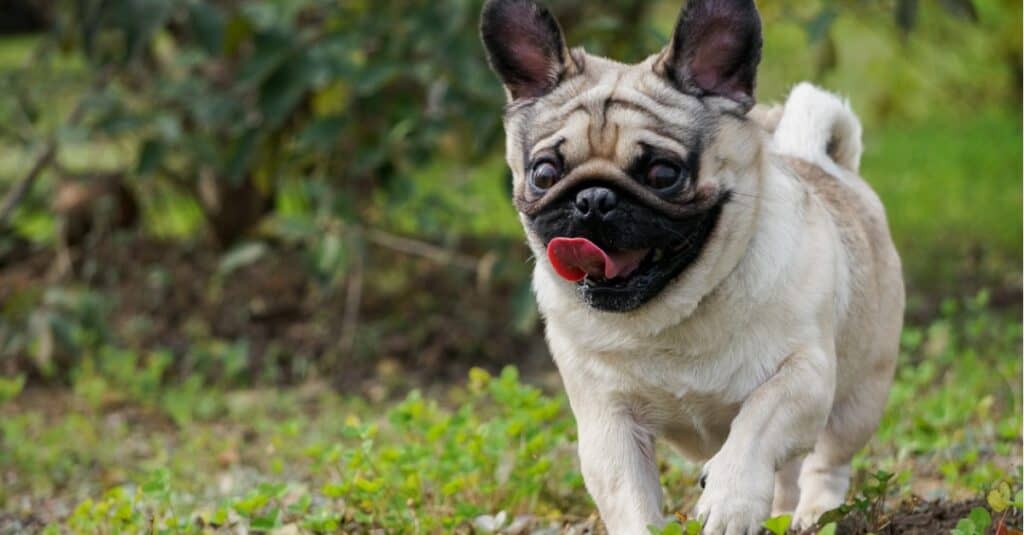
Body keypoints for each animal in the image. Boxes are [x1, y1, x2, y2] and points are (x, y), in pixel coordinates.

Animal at [479, 0, 905, 528]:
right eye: (543, 174)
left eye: (663, 173)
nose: (593, 199)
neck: (673, 313)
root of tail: (820, 161)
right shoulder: (608, 422)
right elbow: (630, 497)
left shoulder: (803, 376)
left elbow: (756, 427)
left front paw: (730, 500)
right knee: (786, 472)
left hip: (858, 398)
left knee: (826, 462)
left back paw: (815, 513)